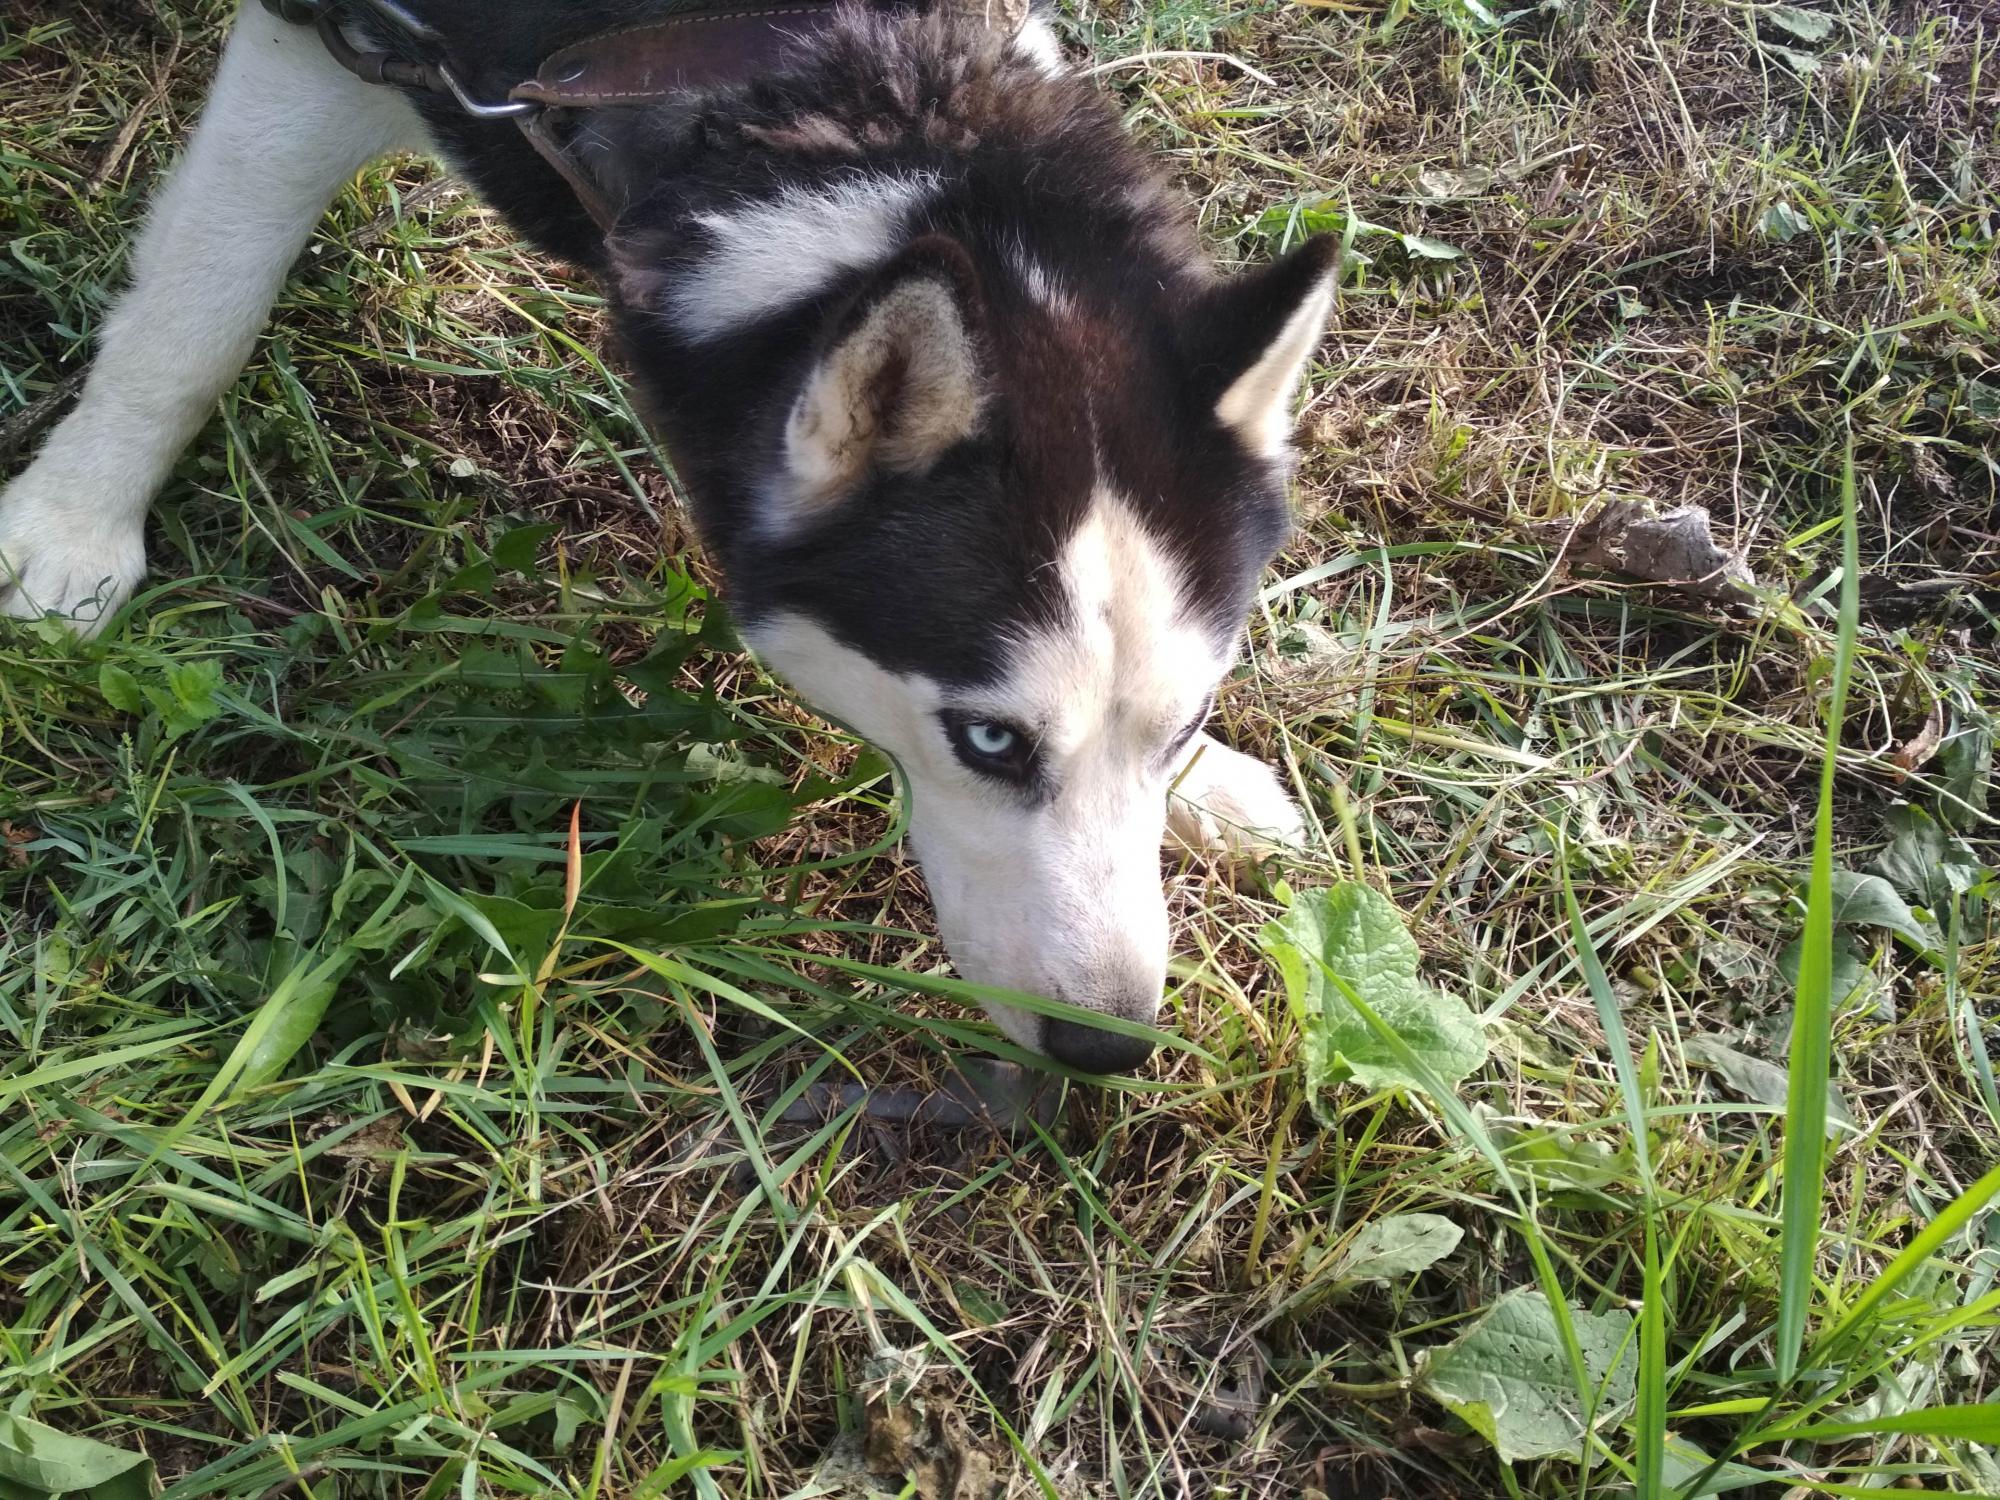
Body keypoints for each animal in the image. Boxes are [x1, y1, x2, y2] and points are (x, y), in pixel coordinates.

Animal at [7, 5, 1336, 1072]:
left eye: (1187, 723)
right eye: (990, 740)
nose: (1107, 1049)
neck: (806, 79)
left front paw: (1216, 794)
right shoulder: (321, 53)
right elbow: (195, 322)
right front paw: (75, 520)